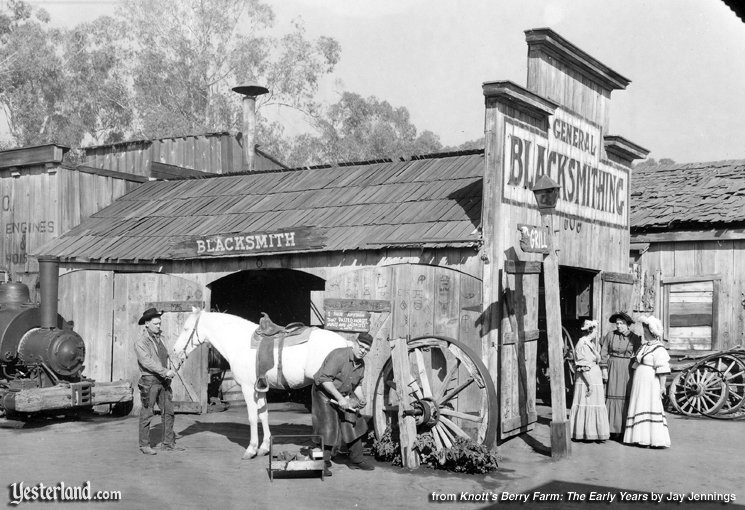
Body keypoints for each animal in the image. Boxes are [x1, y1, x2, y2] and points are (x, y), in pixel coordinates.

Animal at [171, 308, 348, 460]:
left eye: (186, 329)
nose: (175, 350)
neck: (239, 342)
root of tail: (346, 344)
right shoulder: (260, 387)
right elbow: (263, 415)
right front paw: (264, 447)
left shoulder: (248, 388)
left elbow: (252, 417)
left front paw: (251, 449)